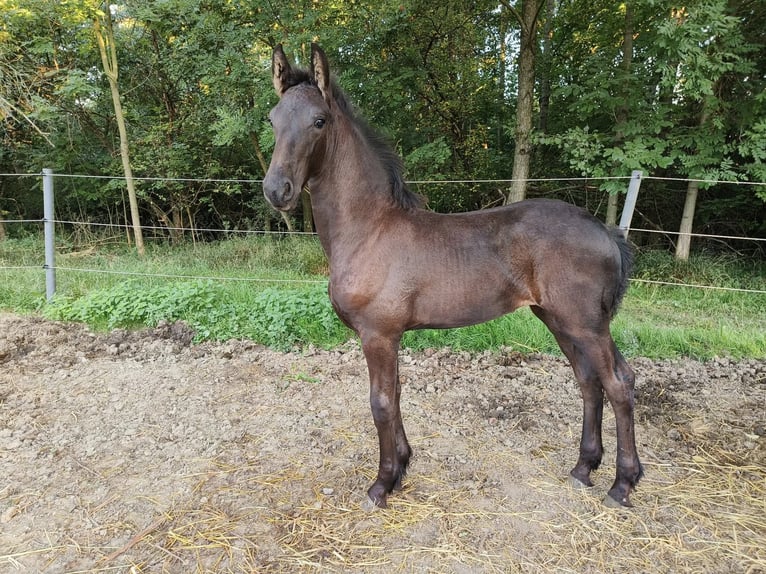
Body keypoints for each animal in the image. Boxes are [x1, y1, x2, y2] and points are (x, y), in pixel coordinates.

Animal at [263, 43, 643, 509]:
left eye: (319, 121)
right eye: (273, 119)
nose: (276, 190)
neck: (370, 228)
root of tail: (606, 232)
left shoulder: (378, 335)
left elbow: (381, 403)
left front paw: (381, 484)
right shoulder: (392, 336)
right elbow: (397, 396)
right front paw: (402, 467)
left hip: (585, 323)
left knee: (619, 383)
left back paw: (622, 485)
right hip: (559, 319)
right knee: (590, 382)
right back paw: (583, 468)